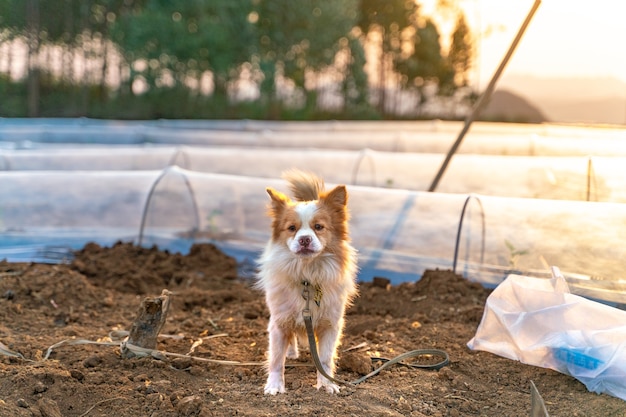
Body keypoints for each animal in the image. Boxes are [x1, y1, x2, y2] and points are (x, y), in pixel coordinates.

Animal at [256, 168, 358, 394]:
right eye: (291, 228)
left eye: (318, 227)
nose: (304, 239)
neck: (307, 275)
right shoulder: (279, 322)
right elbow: (276, 359)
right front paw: (274, 386)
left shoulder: (330, 325)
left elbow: (326, 359)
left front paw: (327, 384)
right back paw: (291, 353)